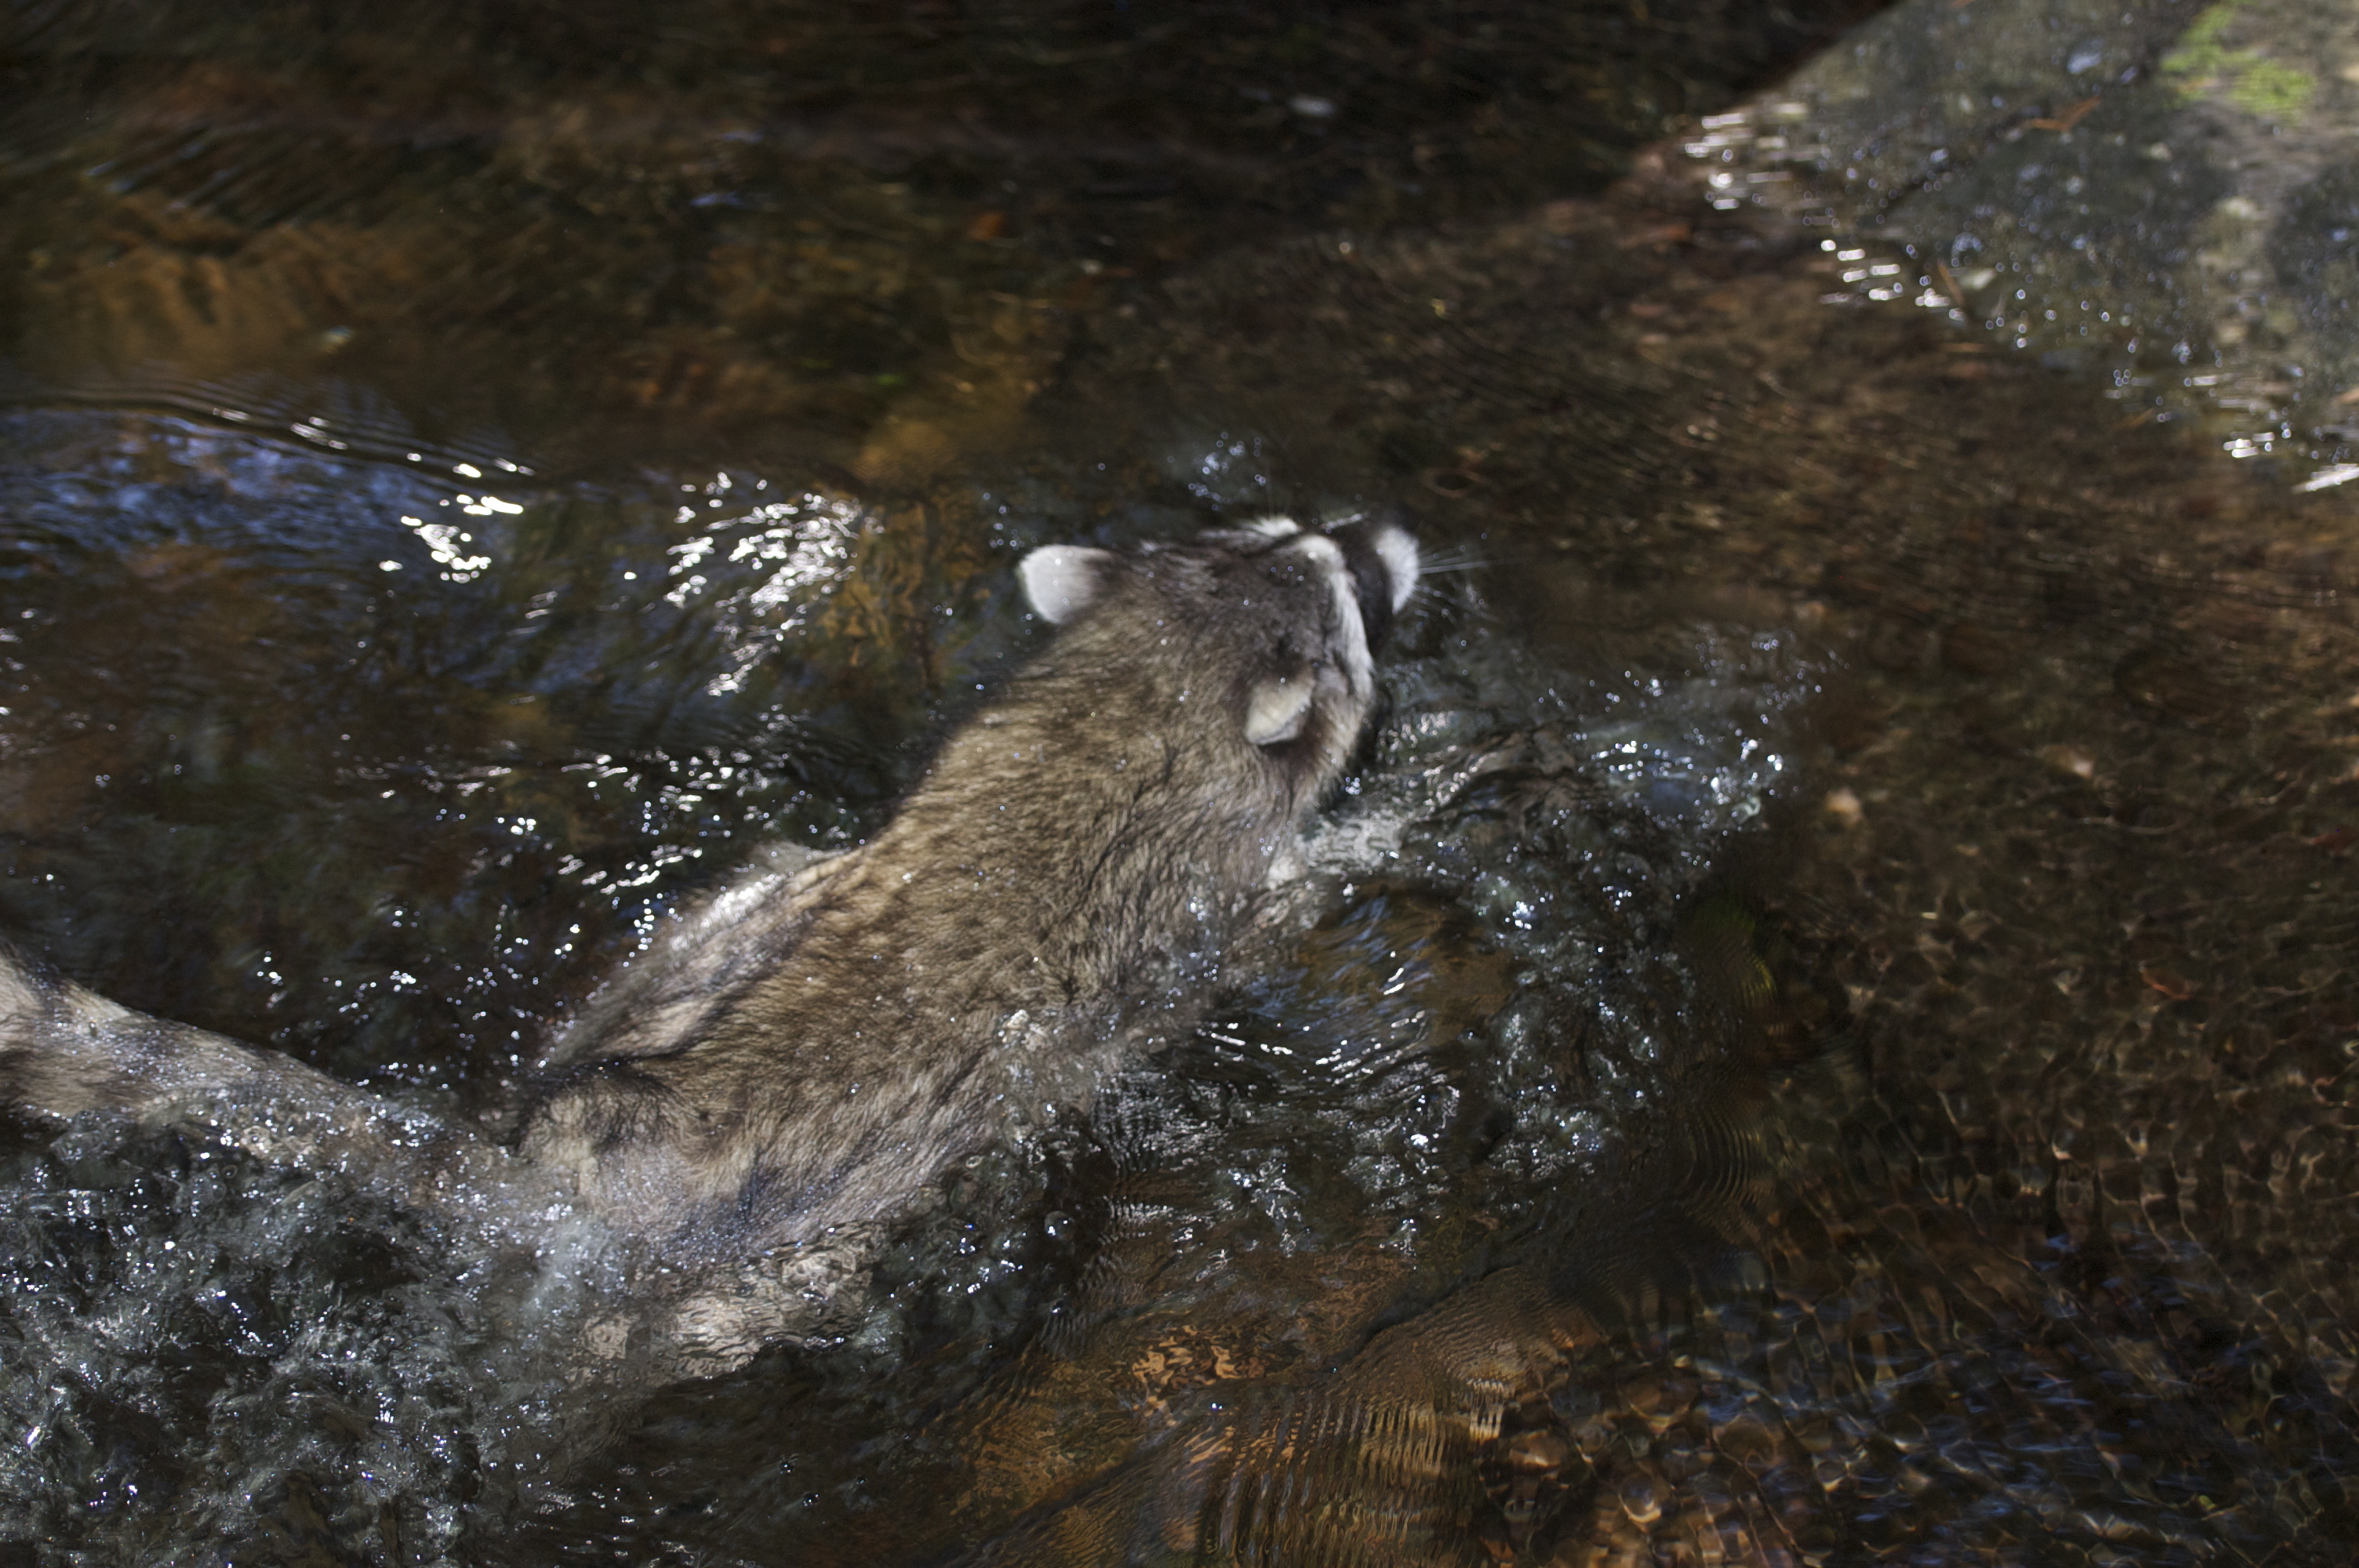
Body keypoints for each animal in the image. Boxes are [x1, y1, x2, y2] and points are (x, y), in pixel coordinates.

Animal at [0, 515, 1418, 1290]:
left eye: (1298, 537)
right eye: (1342, 581)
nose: (1390, 531)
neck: (1136, 697)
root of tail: (580, 1155)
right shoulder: (1207, 906)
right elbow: (1298, 893)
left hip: (713, 934)